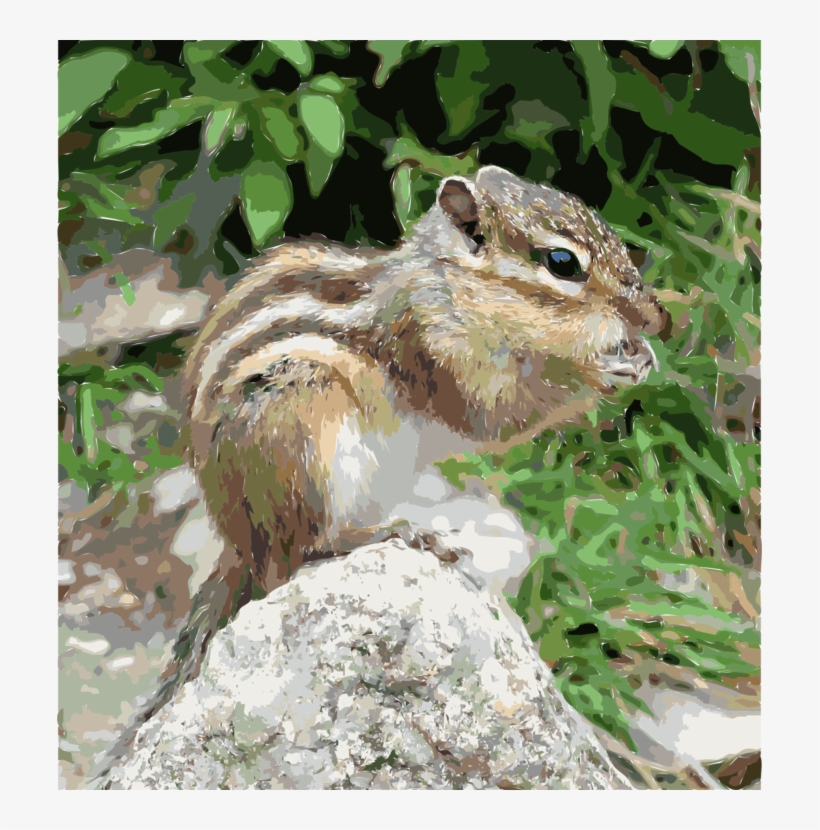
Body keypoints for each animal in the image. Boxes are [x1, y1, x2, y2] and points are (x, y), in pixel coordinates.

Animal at [92, 165, 664, 784]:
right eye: (562, 263)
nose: (658, 316)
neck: (453, 286)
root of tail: (236, 540)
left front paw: (642, 355)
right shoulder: (434, 345)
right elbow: (495, 412)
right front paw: (601, 369)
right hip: (302, 427)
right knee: (297, 555)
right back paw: (389, 535)